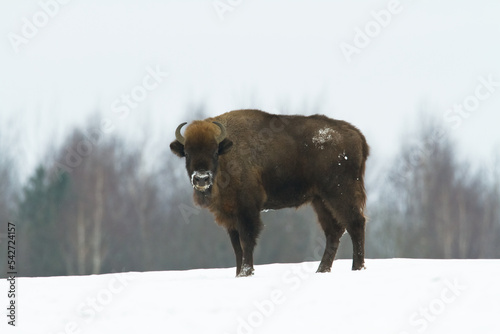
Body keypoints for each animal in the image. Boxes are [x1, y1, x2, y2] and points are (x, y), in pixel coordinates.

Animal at [170, 109, 370, 276]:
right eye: (187, 153)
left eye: (214, 151)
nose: (201, 178)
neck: (227, 155)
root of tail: (357, 135)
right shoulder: (230, 215)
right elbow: (236, 246)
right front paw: (238, 273)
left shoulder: (247, 210)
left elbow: (246, 241)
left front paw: (246, 272)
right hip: (320, 200)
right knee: (334, 231)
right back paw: (322, 270)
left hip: (339, 193)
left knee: (355, 223)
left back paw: (357, 268)